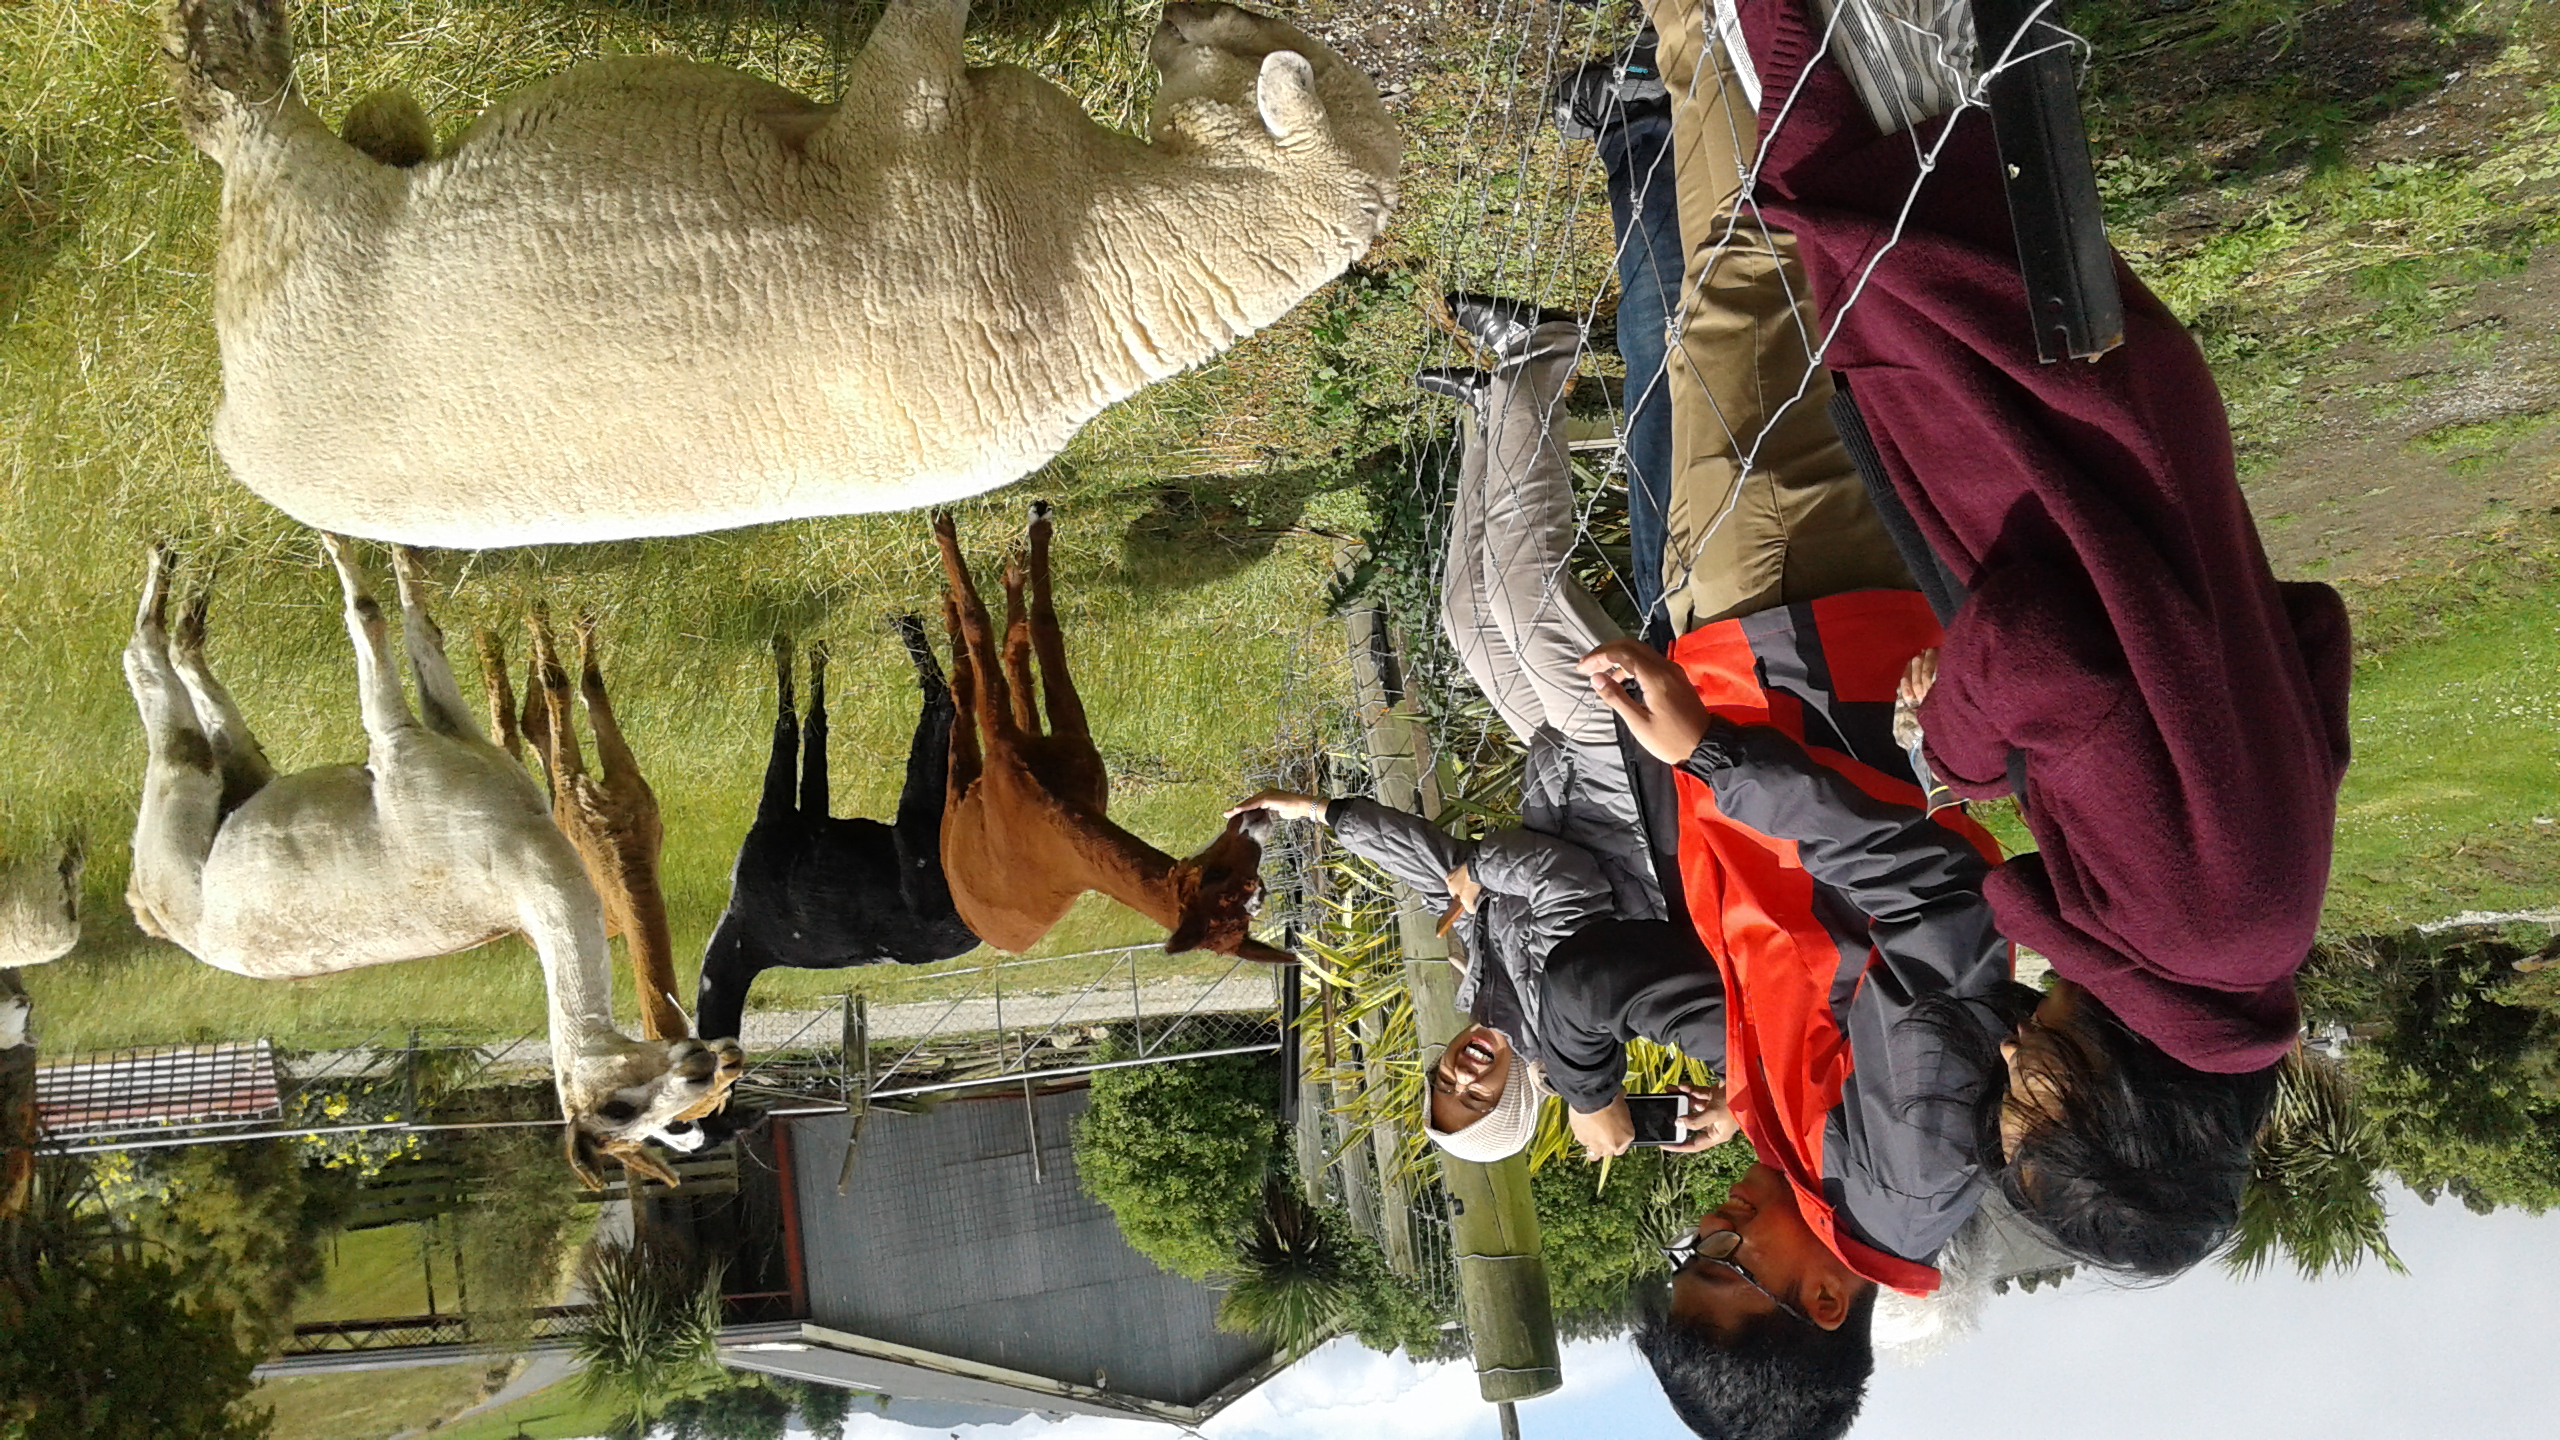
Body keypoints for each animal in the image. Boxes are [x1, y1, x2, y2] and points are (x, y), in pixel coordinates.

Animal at [166, 0, 1400, 547]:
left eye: (1246, 44)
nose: (1179, 8)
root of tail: (236, 434)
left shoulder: (904, 116)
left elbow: (917, 20)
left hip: (298, 246)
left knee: (246, 138)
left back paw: (231, 51)